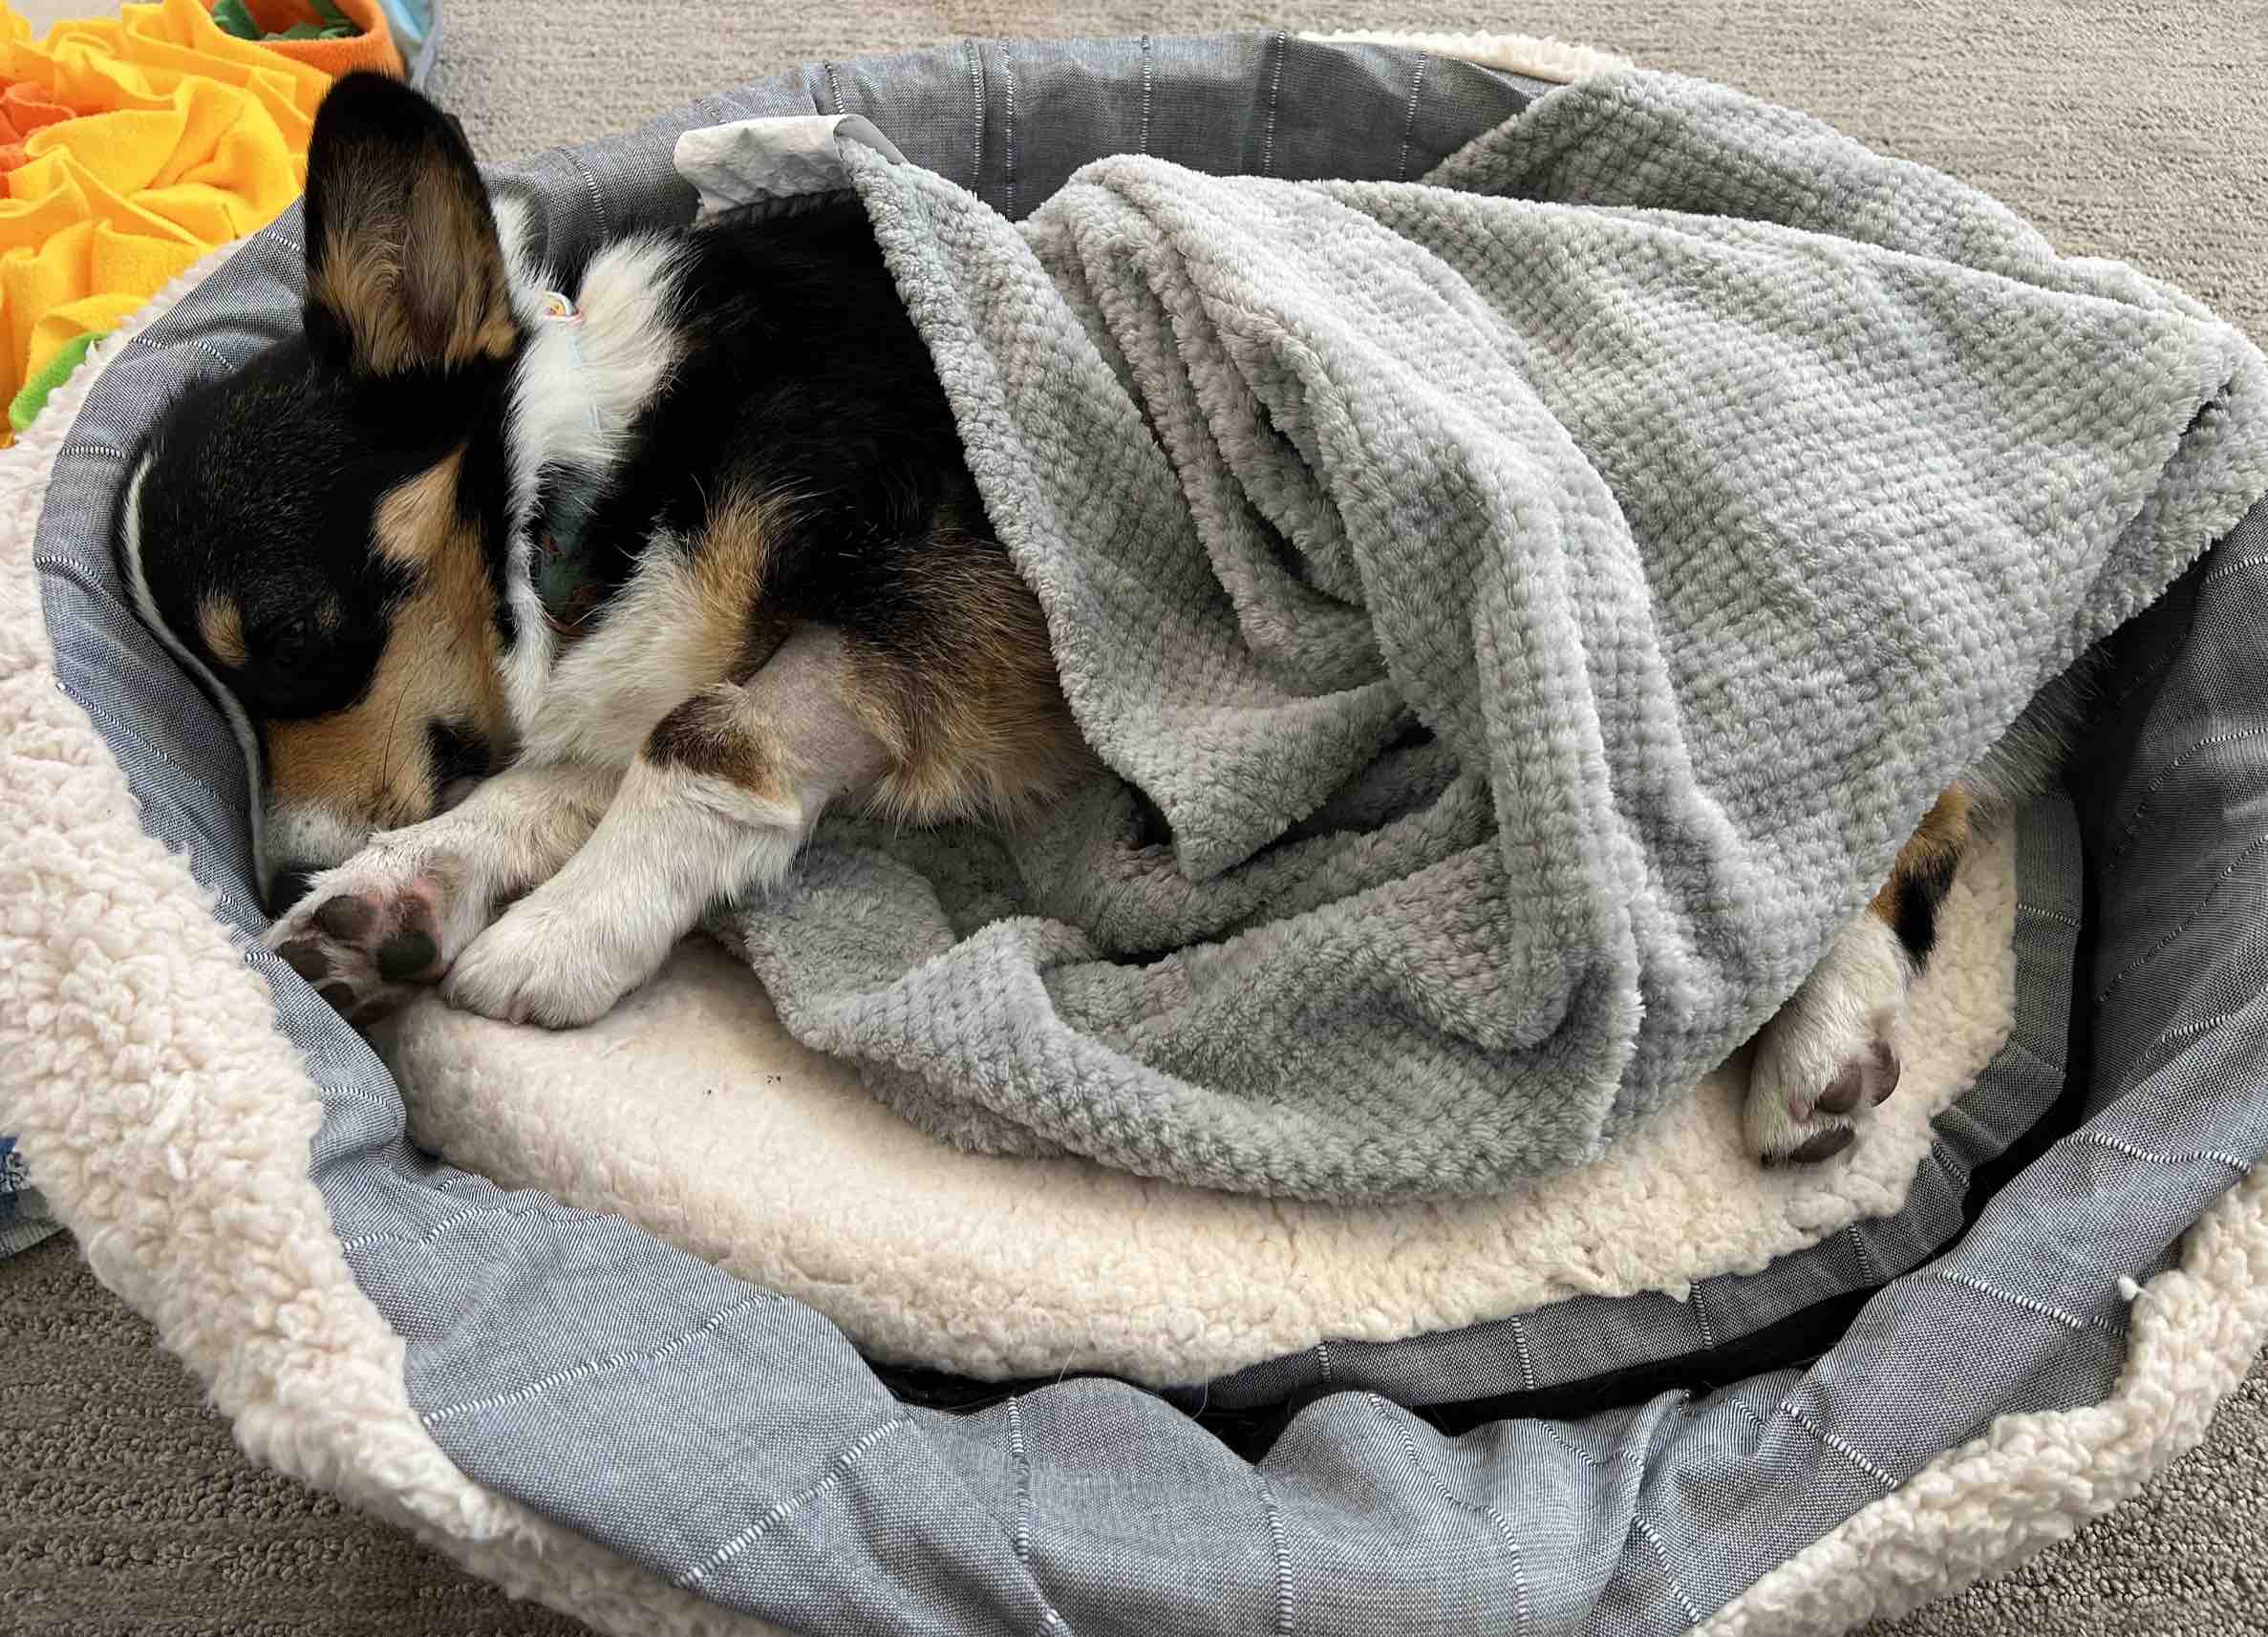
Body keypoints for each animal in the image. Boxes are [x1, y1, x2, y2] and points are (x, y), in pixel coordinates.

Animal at [119, 73, 2077, 1160]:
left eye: (292, 634)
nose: (275, 855)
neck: (590, 468)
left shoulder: (910, 602)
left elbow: (696, 749)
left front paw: (554, 944)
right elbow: (537, 787)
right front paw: (390, 904)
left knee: (1859, 841)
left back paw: (1823, 1042)